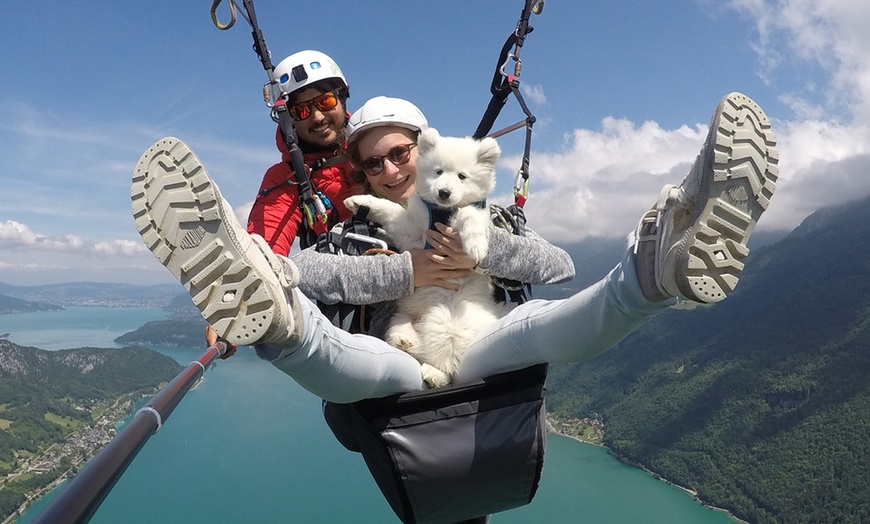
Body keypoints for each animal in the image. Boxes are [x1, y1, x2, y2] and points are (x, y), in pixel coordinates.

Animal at [346, 128, 508, 386]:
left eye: (462, 176)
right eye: (438, 171)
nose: (444, 192)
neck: (441, 212)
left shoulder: (471, 214)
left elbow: (469, 215)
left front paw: (476, 246)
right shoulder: (411, 229)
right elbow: (391, 210)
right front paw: (361, 202)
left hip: (445, 320)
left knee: (448, 363)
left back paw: (434, 373)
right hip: (400, 317)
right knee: (409, 340)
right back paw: (406, 341)